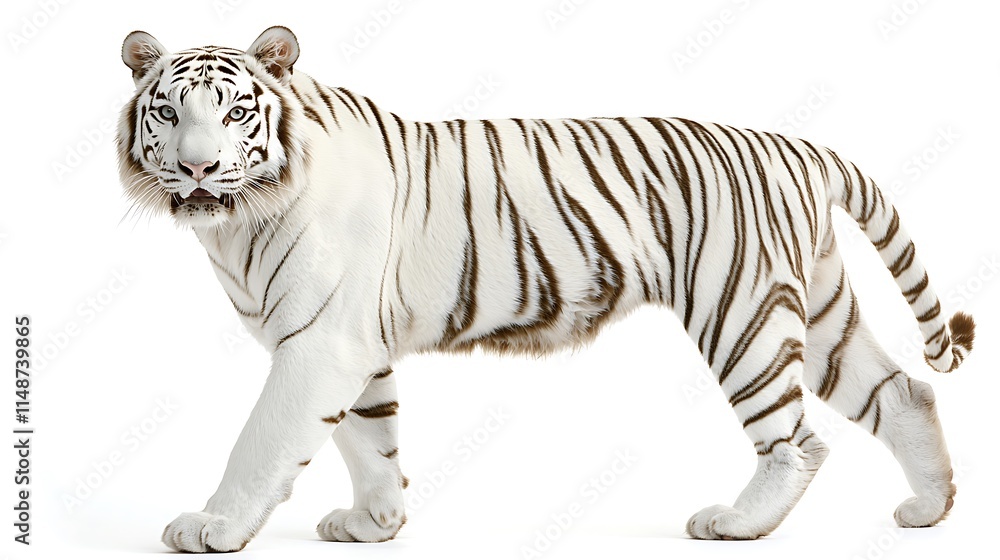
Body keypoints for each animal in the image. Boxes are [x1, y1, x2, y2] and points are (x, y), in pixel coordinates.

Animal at [116, 26, 975, 552]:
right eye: (167, 111)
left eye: (234, 111)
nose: (196, 167)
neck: (237, 224)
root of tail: (798, 146)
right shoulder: (353, 341)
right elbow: (371, 435)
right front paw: (376, 521)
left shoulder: (318, 341)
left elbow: (263, 439)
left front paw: (212, 526)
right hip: (819, 308)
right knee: (904, 392)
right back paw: (930, 508)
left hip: (744, 314)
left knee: (798, 440)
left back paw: (738, 522)